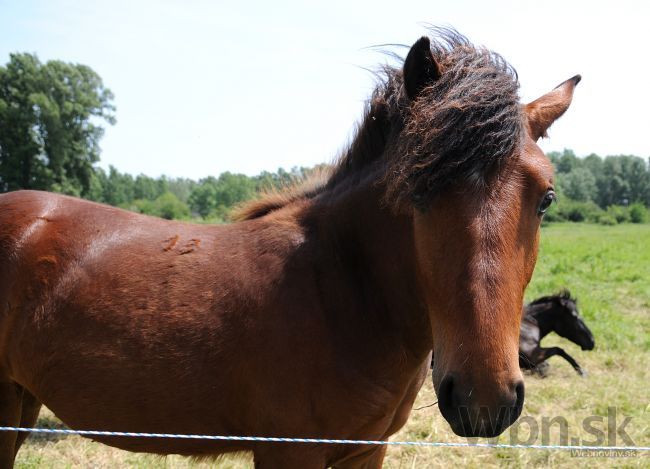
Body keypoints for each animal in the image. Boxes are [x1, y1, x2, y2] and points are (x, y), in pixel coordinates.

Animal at [0, 30, 576, 468]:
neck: (339, 292)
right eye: (417, 191)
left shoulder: (365, 450)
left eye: (546, 199)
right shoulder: (290, 450)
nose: (484, 400)